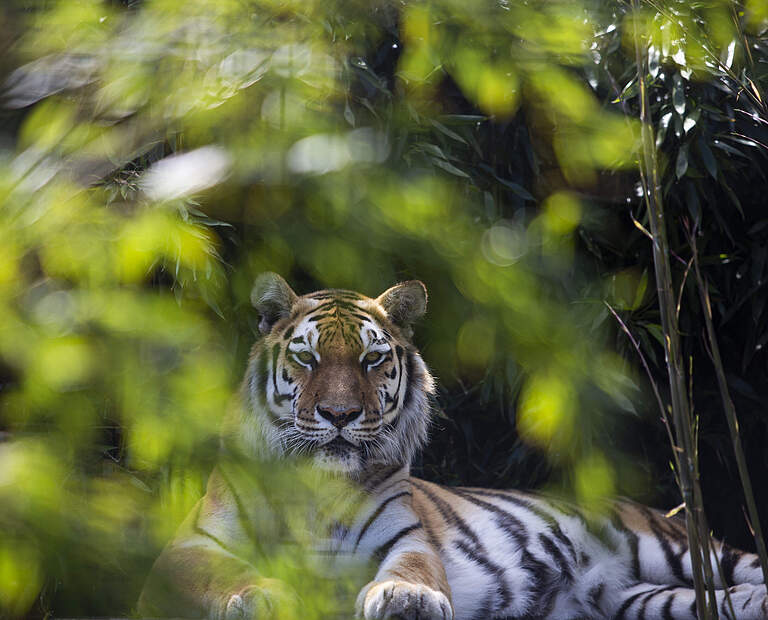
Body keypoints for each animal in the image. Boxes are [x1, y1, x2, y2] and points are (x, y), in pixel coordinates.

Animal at [138, 274, 768, 620]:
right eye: (307, 357)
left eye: (372, 358)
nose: (339, 415)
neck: (319, 488)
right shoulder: (190, 545)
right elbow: (220, 574)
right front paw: (262, 596)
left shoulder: (405, 536)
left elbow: (413, 567)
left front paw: (407, 599)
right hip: (637, 599)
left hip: (673, 547)